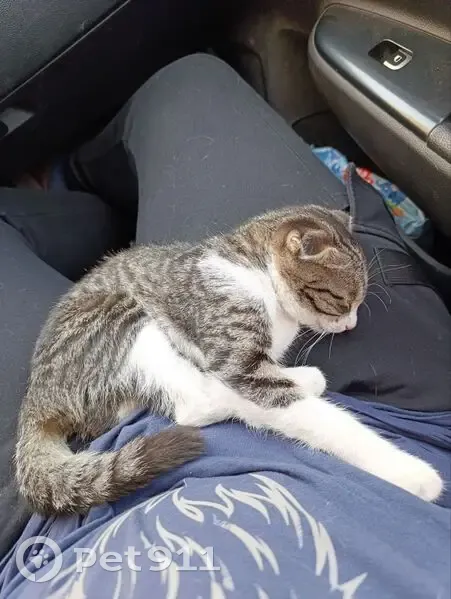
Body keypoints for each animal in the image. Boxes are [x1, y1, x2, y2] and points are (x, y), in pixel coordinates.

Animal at [15, 206, 443, 514]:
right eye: (342, 299)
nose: (352, 323)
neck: (256, 273)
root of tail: (36, 399)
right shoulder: (237, 360)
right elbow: (319, 418)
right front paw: (413, 473)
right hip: (121, 318)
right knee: (198, 404)